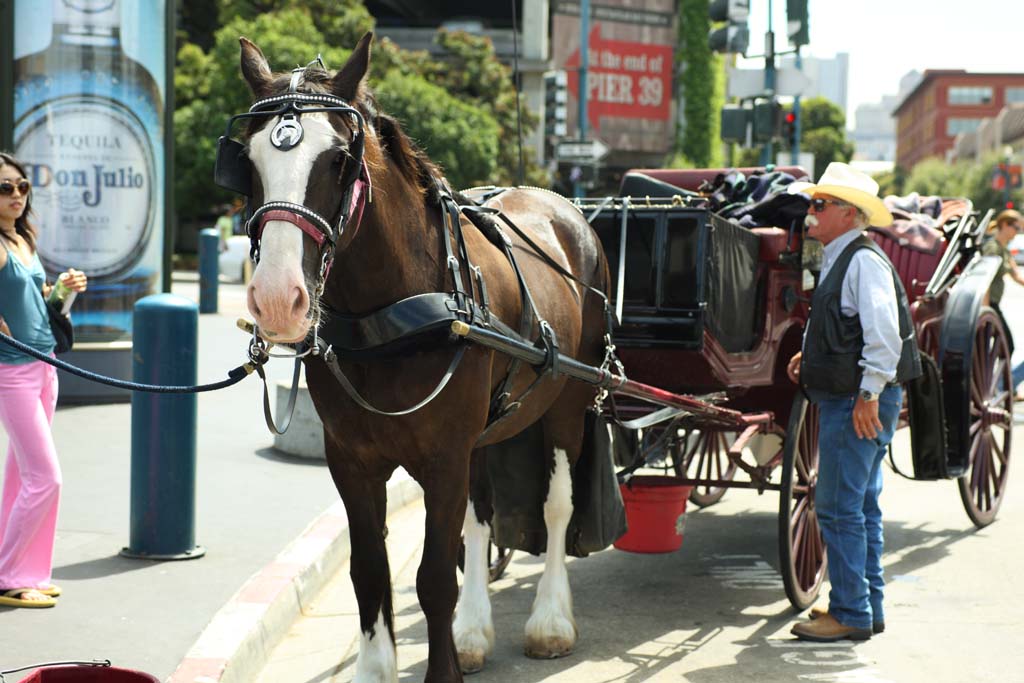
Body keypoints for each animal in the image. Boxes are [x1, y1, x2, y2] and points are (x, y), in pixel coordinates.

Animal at [239, 34, 606, 679]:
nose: (279, 298)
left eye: (339, 161)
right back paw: (475, 631)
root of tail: (561, 206)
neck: (390, 313)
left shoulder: (443, 456)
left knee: (557, 506)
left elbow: (435, 577)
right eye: (248, 161)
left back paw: (550, 620)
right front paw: (378, 665)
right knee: (482, 516)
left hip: (569, 400)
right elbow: (371, 572)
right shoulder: (353, 461)